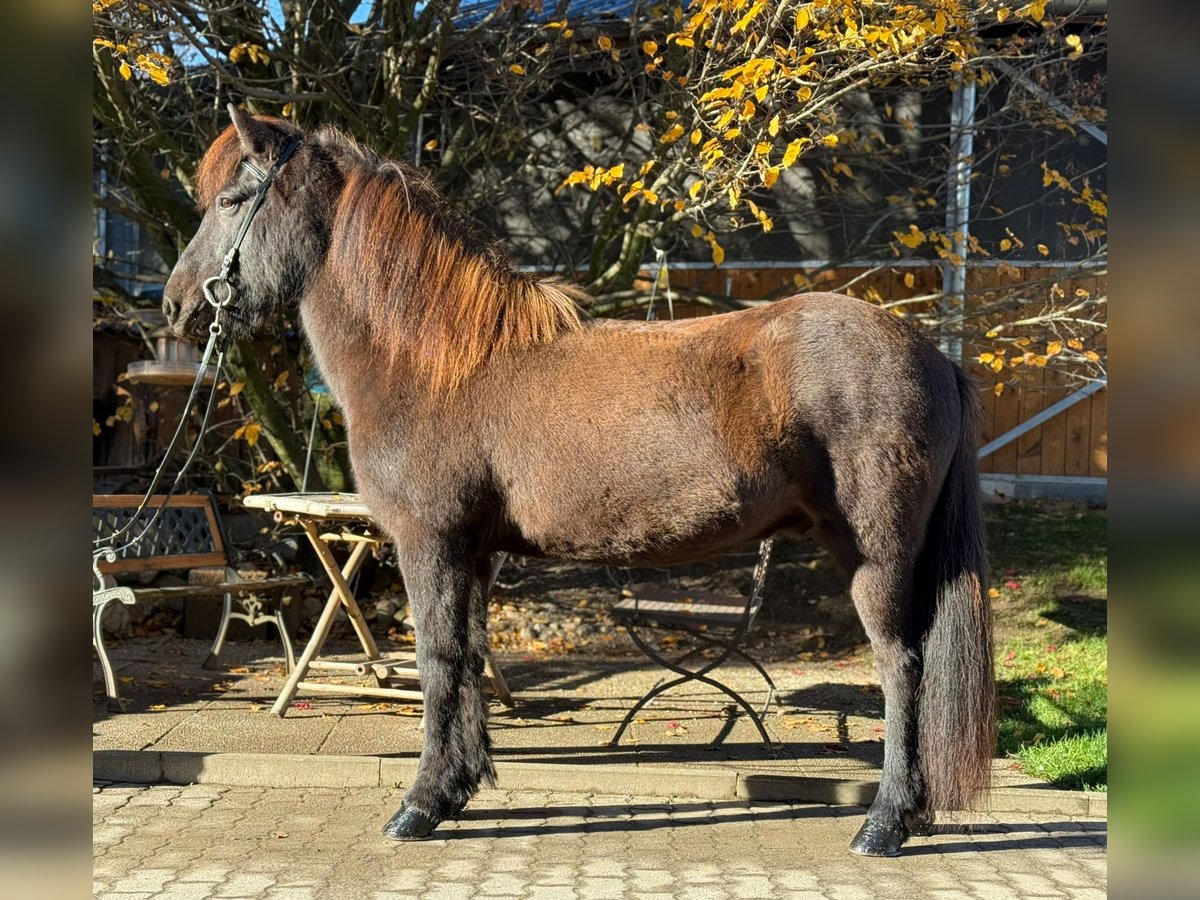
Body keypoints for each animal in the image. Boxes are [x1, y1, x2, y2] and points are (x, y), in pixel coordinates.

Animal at [163, 106, 995, 857]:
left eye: (233, 199)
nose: (176, 303)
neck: (434, 363)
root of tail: (930, 352)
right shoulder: (475, 553)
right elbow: (469, 658)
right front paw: (458, 789)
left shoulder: (430, 543)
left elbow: (437, 663)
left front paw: (419, 806)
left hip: (874, 557)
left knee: (902, 668)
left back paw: (884, 825)